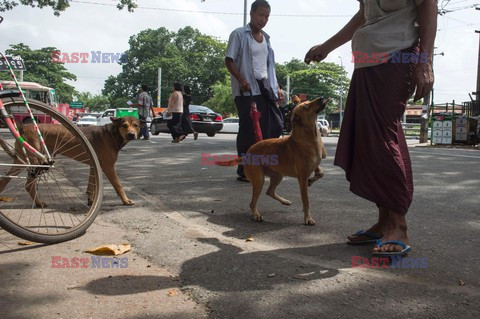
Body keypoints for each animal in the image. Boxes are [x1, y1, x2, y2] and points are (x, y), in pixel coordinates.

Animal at [217, 97, 326, 225]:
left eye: (308, 102)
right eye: (306, 107)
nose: (322, 98)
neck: (310, 137)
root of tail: (247, 154)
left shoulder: (315, 165)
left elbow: (321, 173)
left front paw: (312, 180)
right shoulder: (302, 178)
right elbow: (306, 201)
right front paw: (308, 218)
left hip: (278, 175)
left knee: (269, 191)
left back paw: (284, 201)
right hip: (259, 180)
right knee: (253, 202)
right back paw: (256, 215)